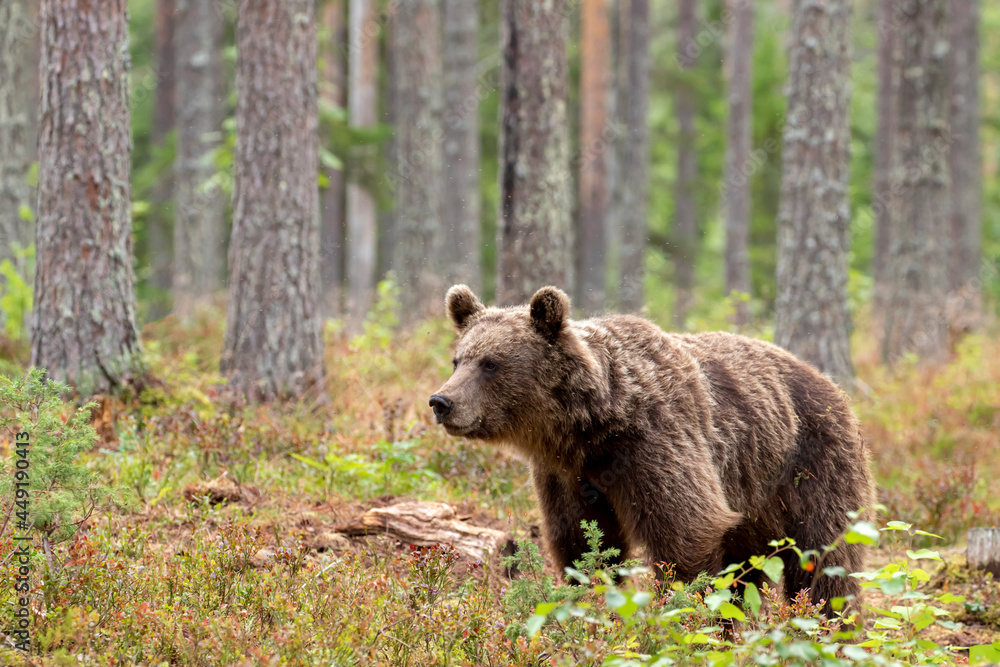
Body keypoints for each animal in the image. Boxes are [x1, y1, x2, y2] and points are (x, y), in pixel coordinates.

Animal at [429, 284, 877, 618]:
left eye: (491, 363)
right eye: (458, 360)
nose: (441, 401)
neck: (591, 427)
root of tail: (832, 385)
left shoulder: (654, 445)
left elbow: (686, 537)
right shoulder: (566, 474)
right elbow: (583, 547)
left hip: (812, 466)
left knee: (825, 562)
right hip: (755, 504)